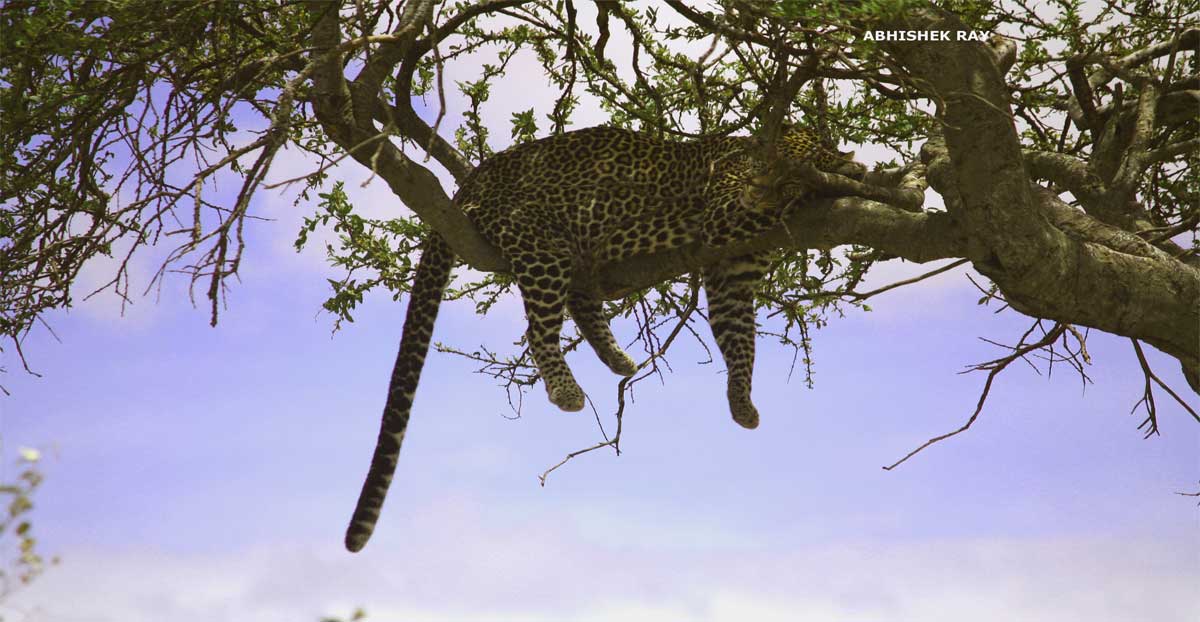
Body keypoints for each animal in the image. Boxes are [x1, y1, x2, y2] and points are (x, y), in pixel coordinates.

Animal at [345, 125, 864, 552]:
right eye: (758, 177)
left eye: (778, 179)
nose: (758, 196)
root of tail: (471, 181)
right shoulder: (722, 220)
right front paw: (841, 174)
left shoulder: (730, 276)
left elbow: (740, 342)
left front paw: (741, 402)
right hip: (542, 242)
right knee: (539, 327)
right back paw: (566, 390)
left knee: (579, 298)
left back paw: (618, 360)